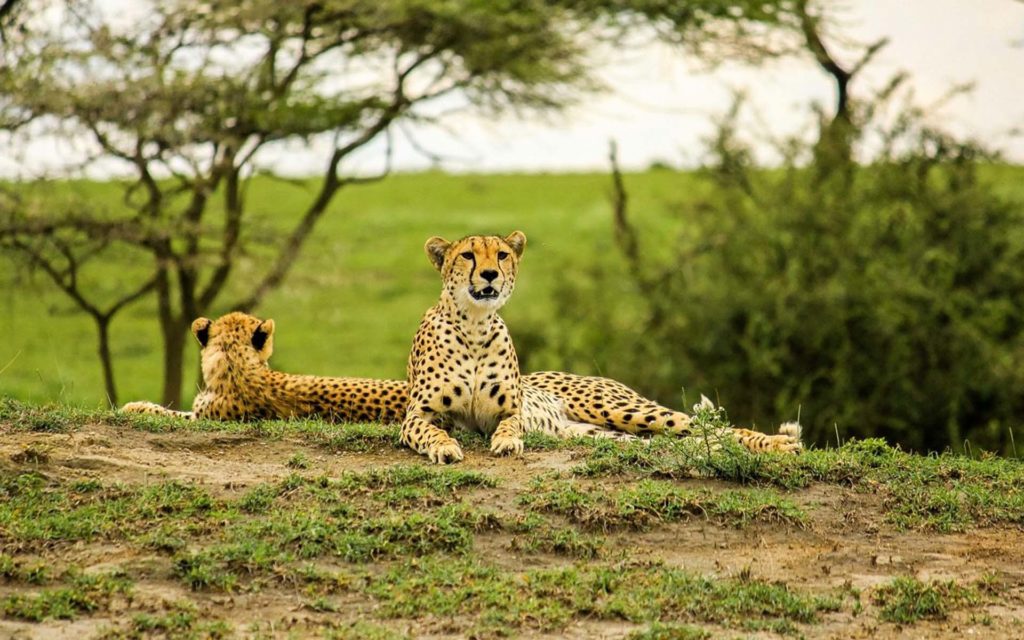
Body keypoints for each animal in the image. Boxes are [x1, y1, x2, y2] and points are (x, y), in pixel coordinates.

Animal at [397, 229, 798, 464]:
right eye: (467, 255)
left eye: (501, 255)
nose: (490, 275)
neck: (475, 325)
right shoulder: (418, 415)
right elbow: (429, 430)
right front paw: (444, 446)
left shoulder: (510, 410)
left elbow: (510, 426)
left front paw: (507, 443)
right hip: (609, 433)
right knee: (691, 440)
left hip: (622, 410)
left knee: (713, 429)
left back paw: (779, 444)